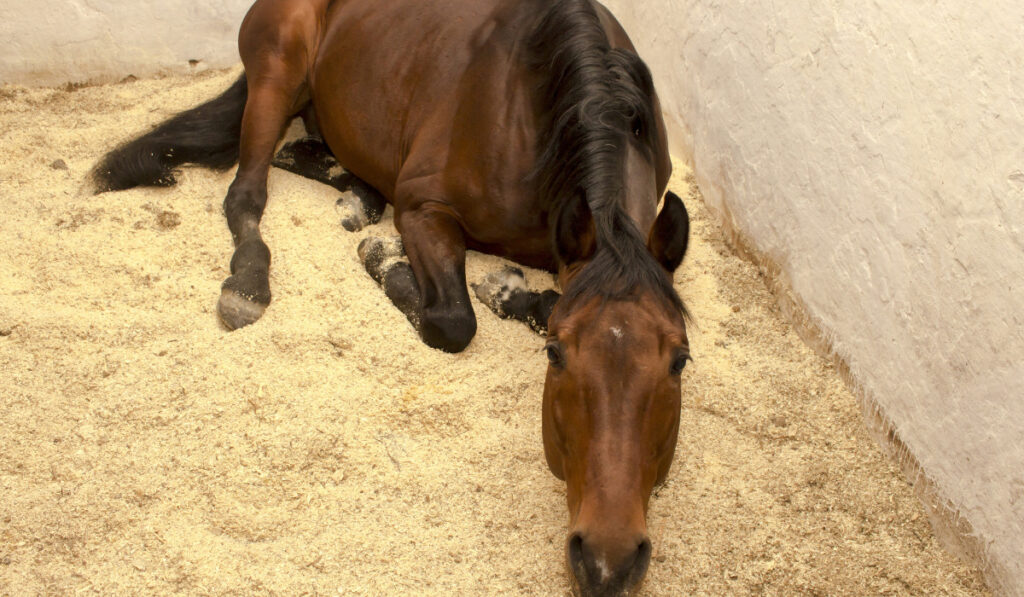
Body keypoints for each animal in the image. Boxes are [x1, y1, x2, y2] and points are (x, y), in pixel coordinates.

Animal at [96, 1, 692, 593]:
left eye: (680, 361)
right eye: (556, 355)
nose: (608, 561)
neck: (540, 114)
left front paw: (505, 287)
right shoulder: (424, 207)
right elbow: (452, 321)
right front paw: (390, 259)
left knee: (308, 155)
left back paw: (357, 198)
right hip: (276, 76)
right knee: (248, 191)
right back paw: (249, 283)